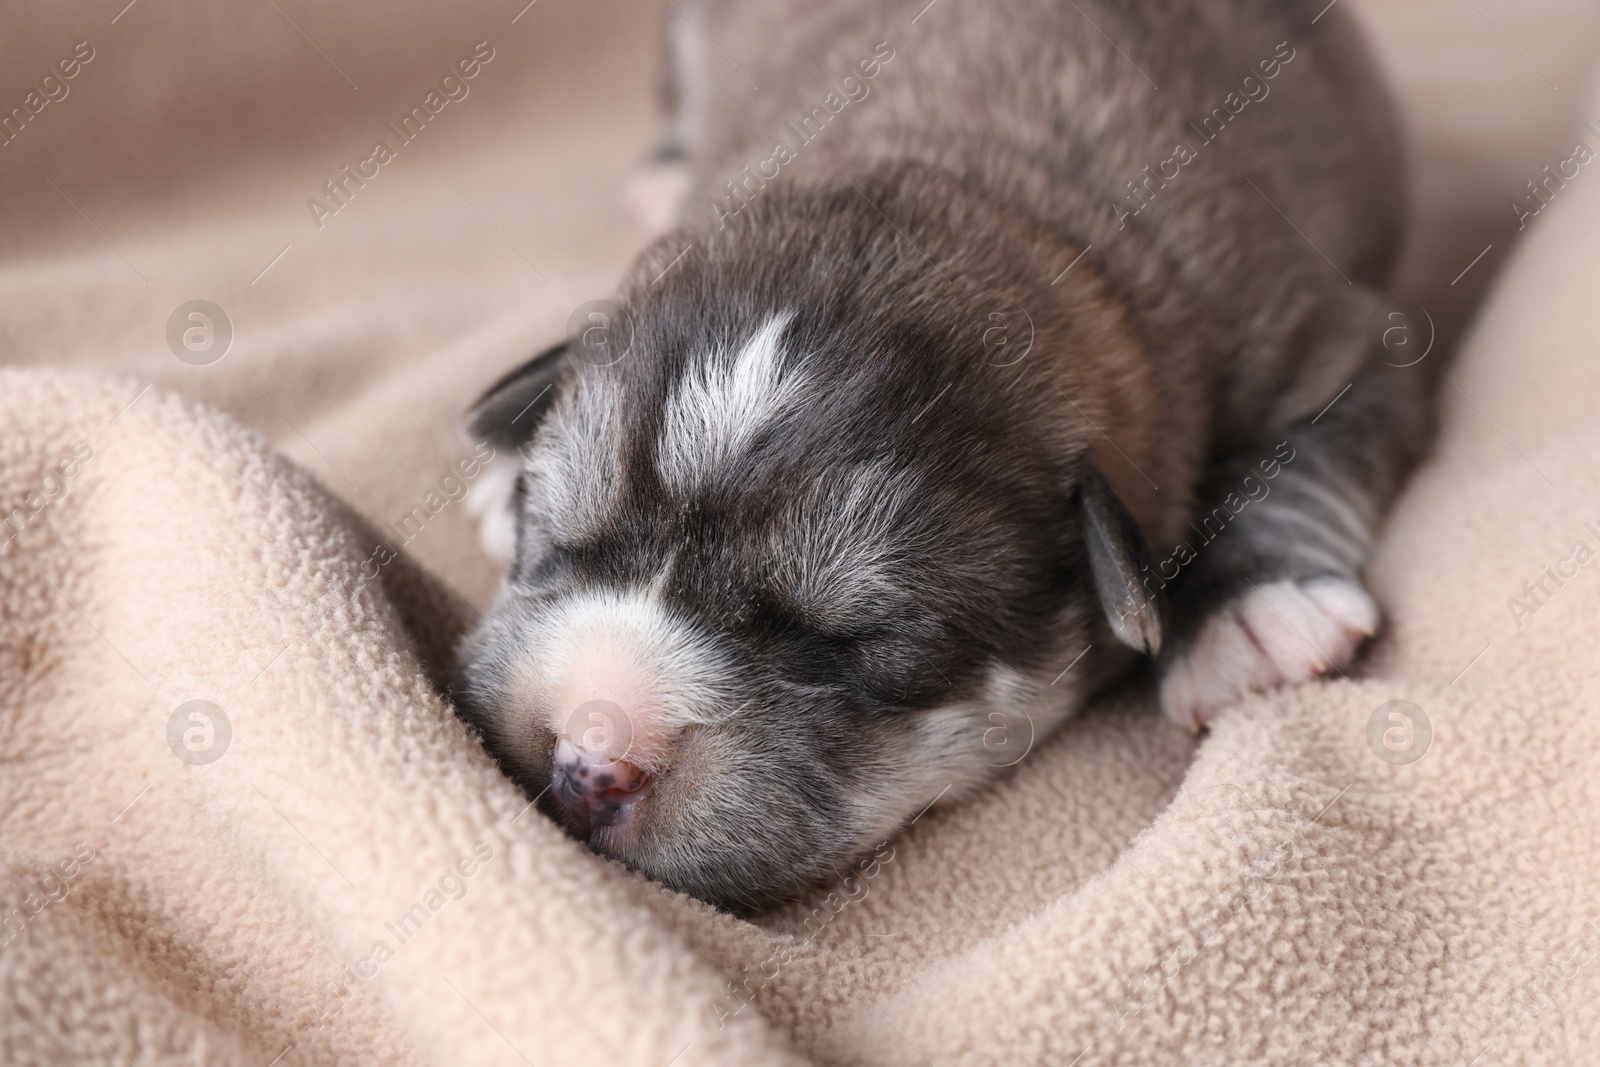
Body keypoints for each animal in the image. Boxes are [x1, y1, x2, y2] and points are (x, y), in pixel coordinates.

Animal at [451, 0, 1427, 908]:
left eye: (846, 642)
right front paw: (504, 474)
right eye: (559, 540)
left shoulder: (1333, 344)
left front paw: (1248, 613)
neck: (989, 182)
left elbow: (1291, 462)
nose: (586, 764)